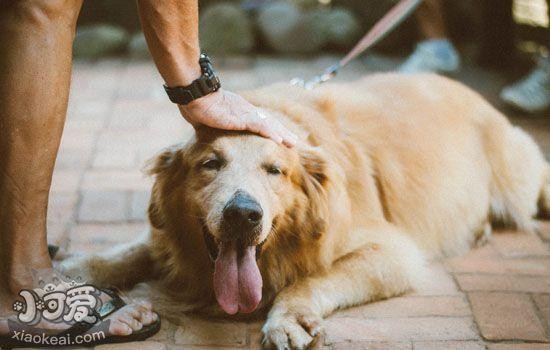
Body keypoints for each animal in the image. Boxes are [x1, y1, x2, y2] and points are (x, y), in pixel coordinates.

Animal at [63, 72, 548, 348]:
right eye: (210, 163)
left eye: (275, 170)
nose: (243, 214)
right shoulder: (170, 238)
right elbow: (129, 251)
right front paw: (73, 271)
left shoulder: (393, 252)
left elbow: (312, 278)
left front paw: (288, 317)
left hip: (520, 180)